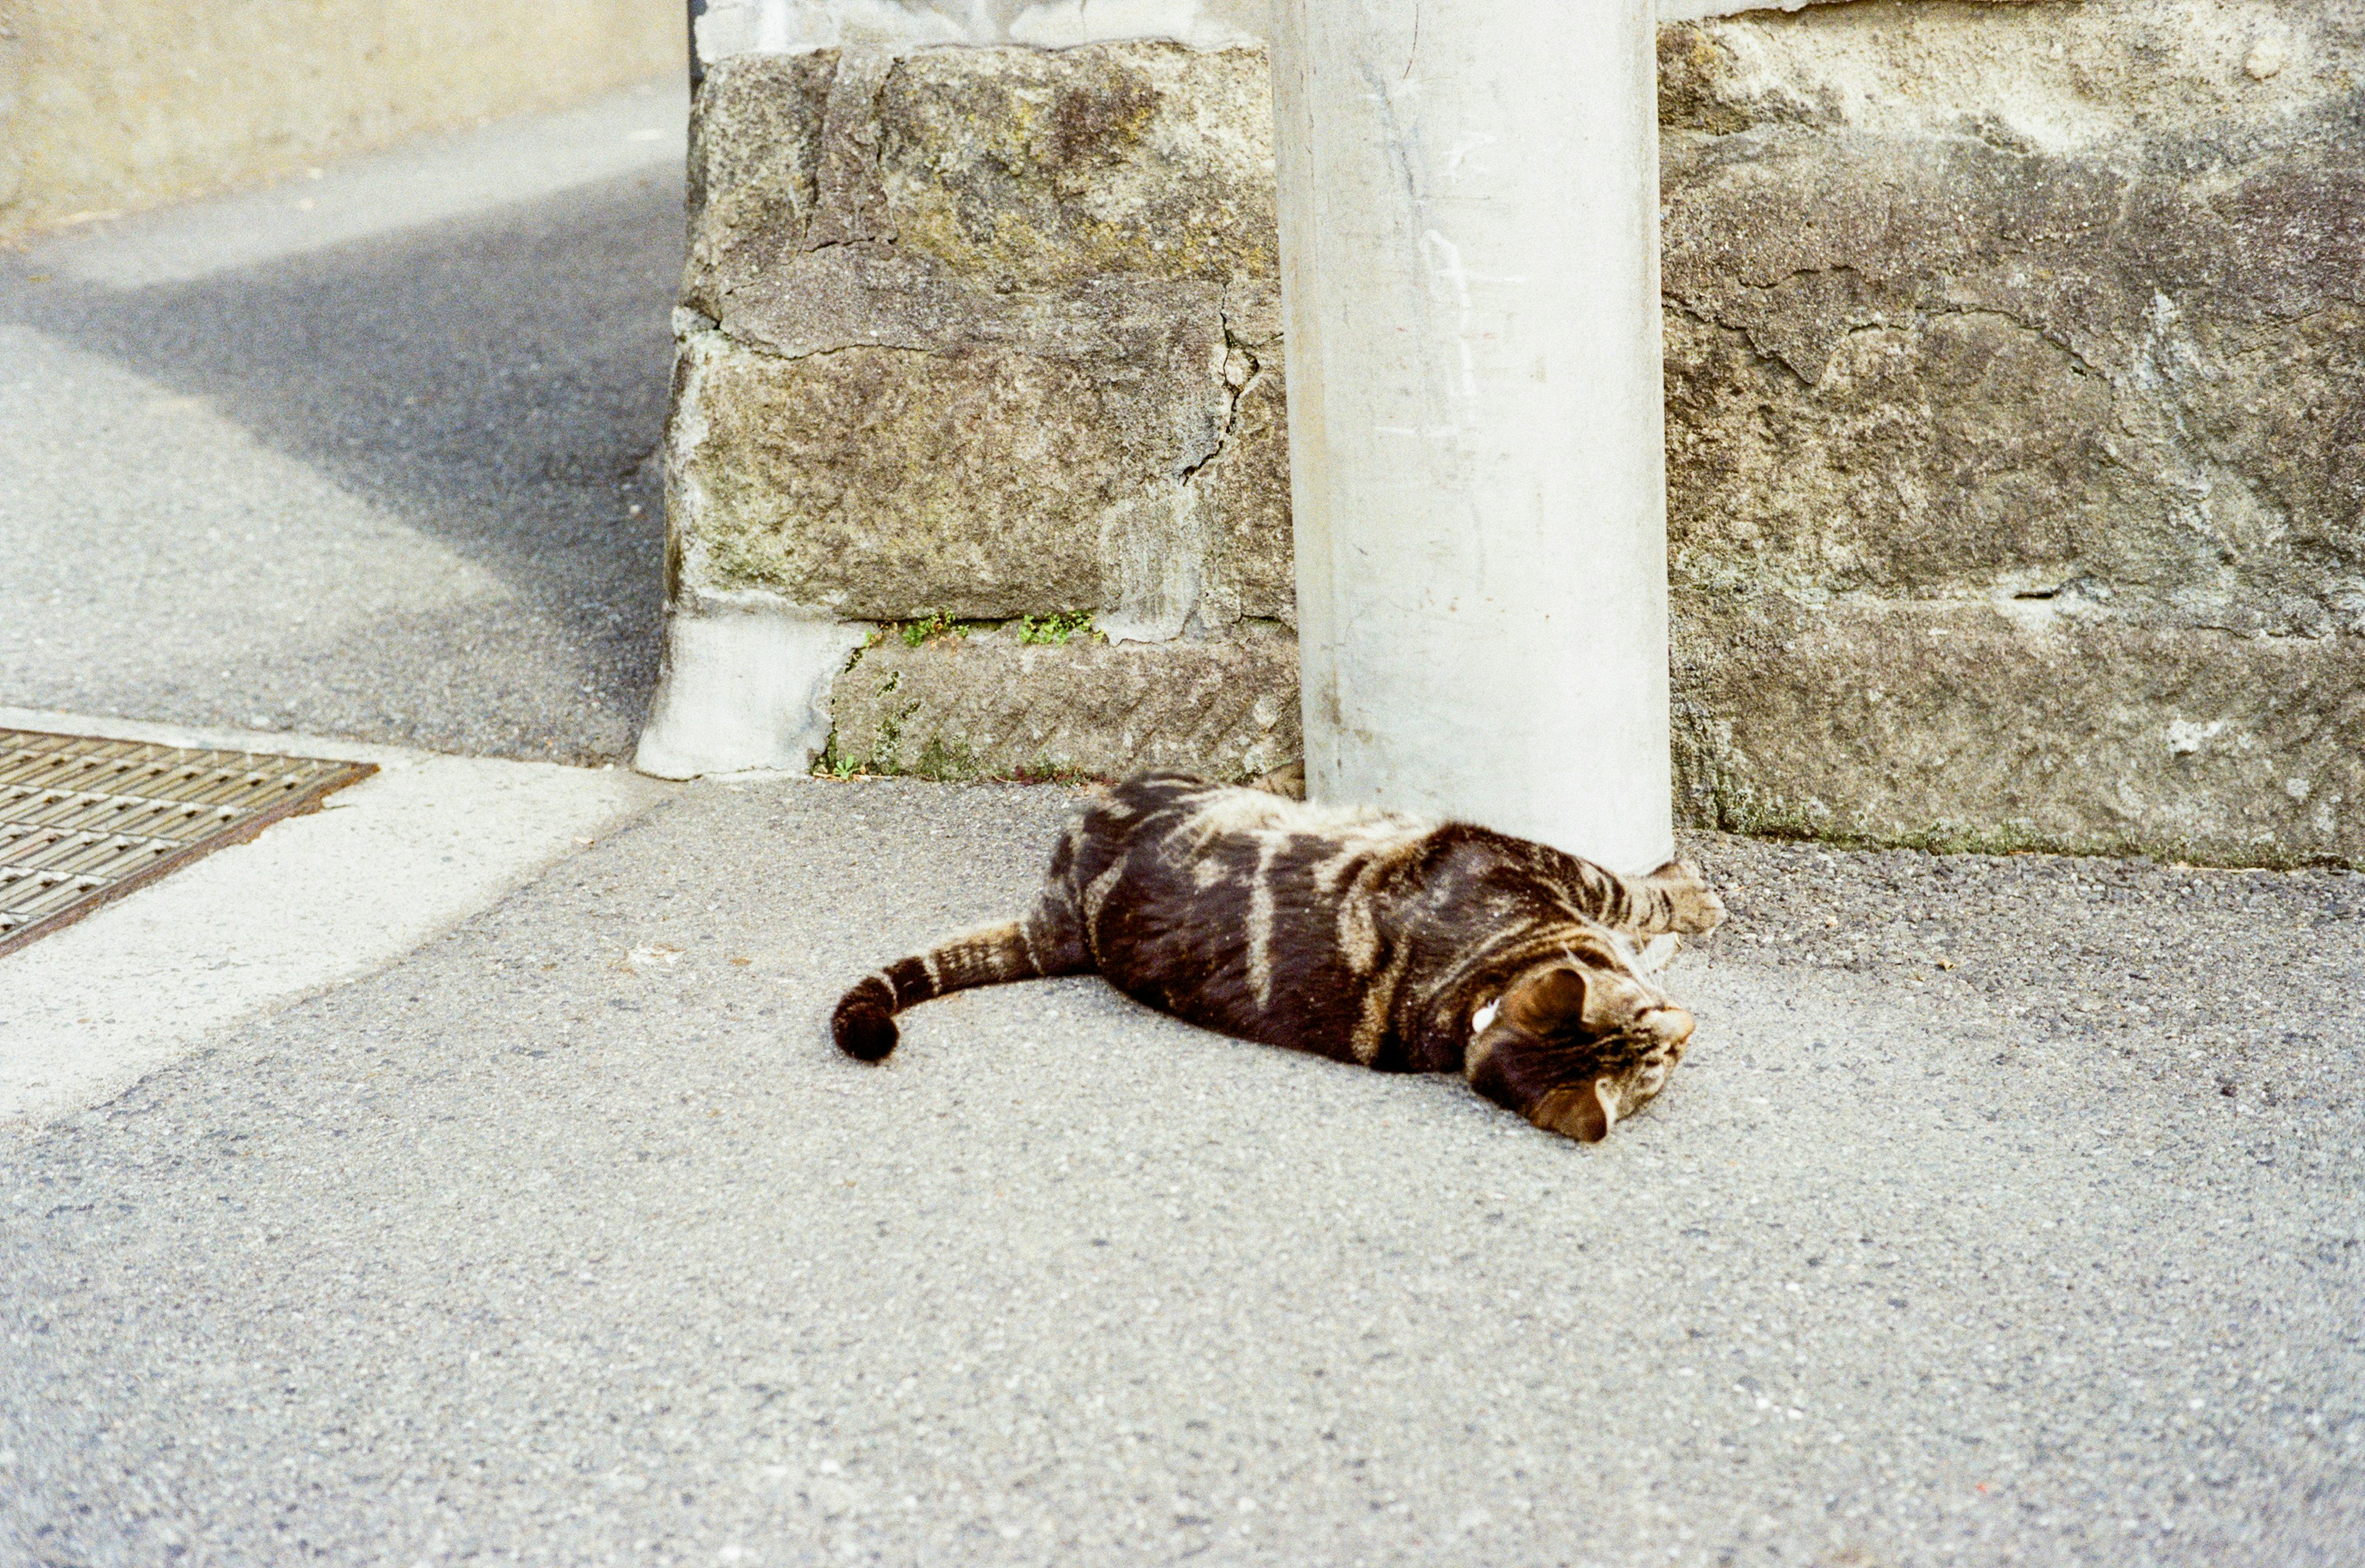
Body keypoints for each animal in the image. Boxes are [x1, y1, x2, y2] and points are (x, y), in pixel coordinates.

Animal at [842, 770, 1731, 1139]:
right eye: (1657, 1054)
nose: (1689, 1029)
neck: (1470, 998)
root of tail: (1066, 914)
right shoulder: (1532, 863)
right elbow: (1628, 893)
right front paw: (1685, 903)